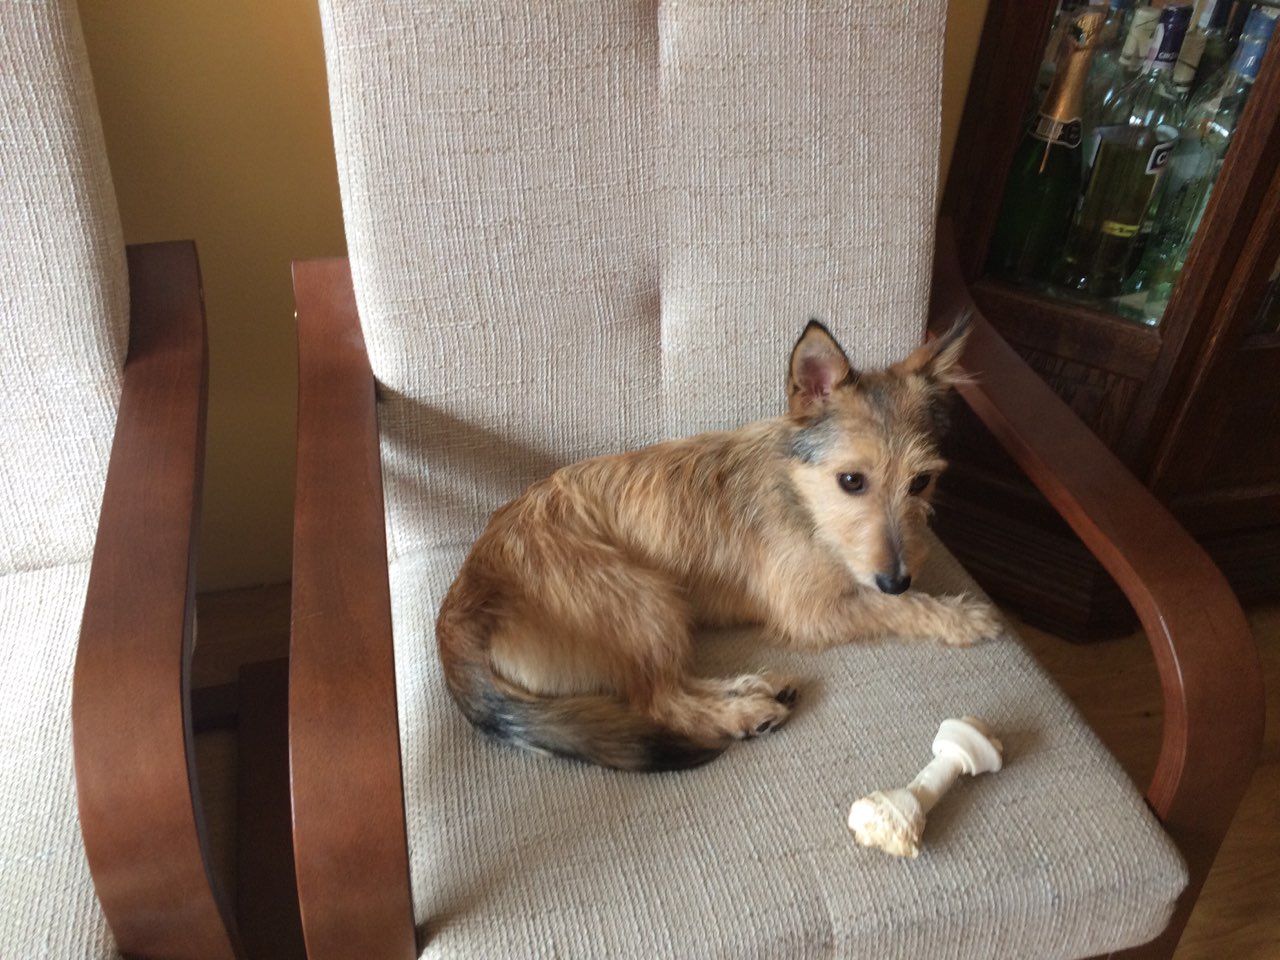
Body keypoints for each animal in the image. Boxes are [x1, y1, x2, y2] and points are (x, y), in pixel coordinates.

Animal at [436, 316, 1000, 772]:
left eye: (921, 482)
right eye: (851, 481)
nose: (898, 579)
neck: (802, 497)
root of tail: (458, 616)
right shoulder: (812, 611)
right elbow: (898, 610)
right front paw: (962, 617)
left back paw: (752, 689)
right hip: (644, 600)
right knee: (662, 700)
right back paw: (745, 710)